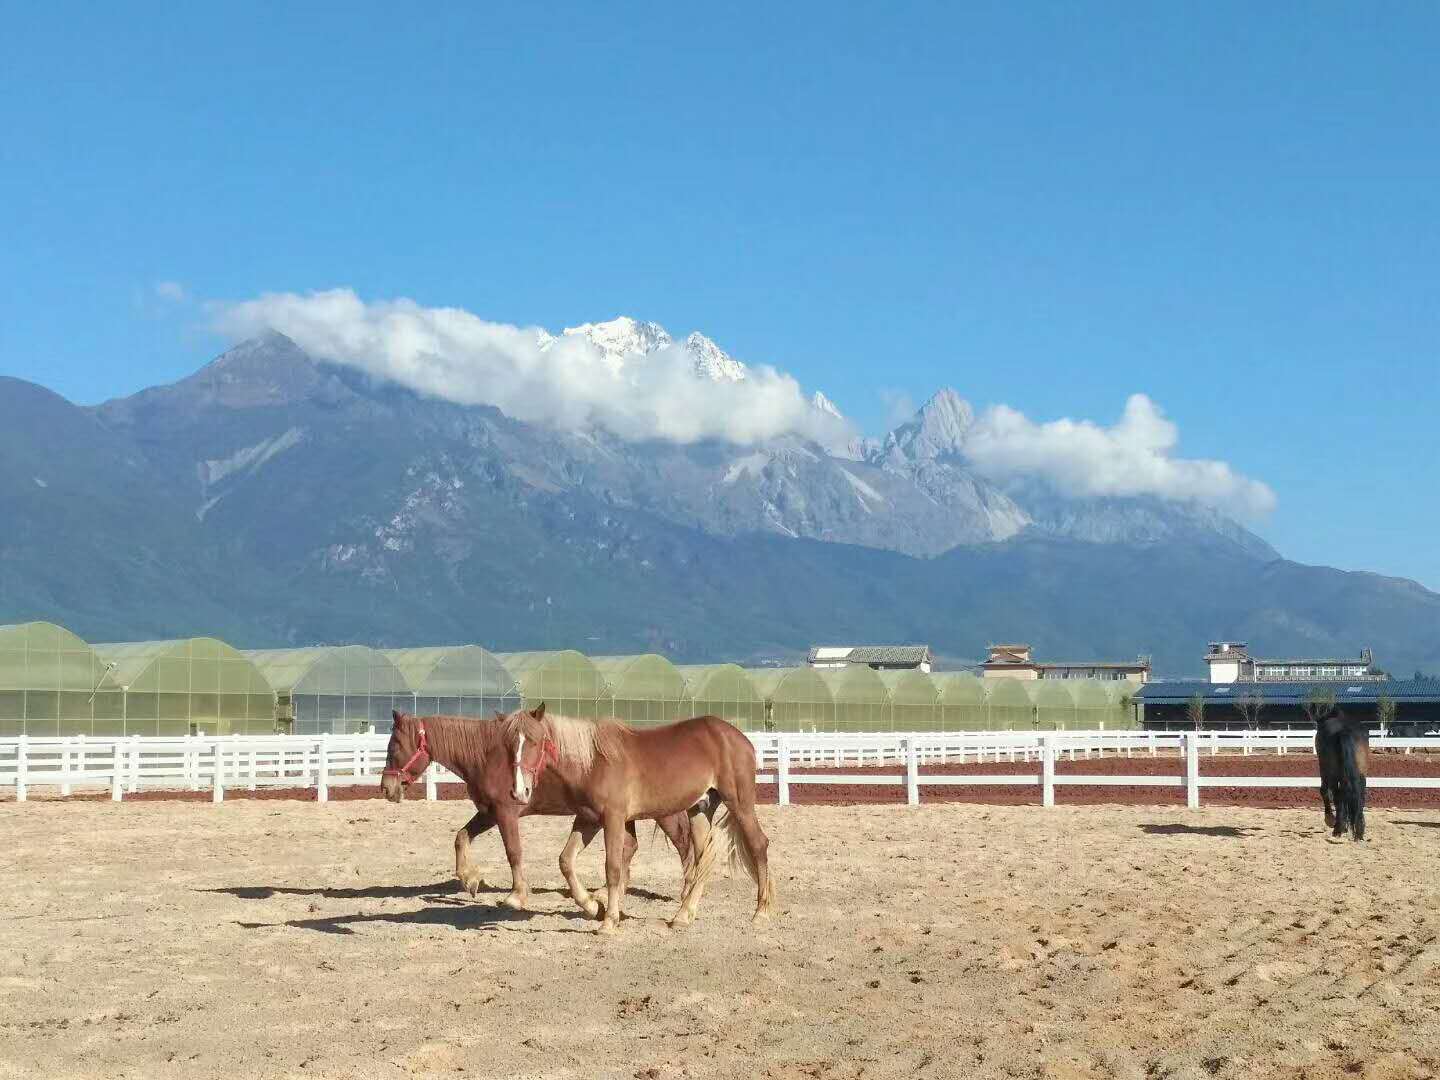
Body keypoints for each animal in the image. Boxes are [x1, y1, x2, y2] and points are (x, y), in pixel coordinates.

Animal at [380, 711, 694, 915]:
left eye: (394, 746)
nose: (386, 787)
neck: (488, 756)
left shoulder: (505, 813)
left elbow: (513, 851)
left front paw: (516, 895)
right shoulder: (489, 813)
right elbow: (461, 837)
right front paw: (470, 880)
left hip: (662, 813)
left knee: (682, 843)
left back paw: (684, 893)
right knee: (630, 848)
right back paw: (606, 893)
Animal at [504, 705, 783, 933]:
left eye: (534, 741)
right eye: (510, 744)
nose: (519, 792)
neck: (594, 763)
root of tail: (739, 738)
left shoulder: (613, 819)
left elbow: (613, 868)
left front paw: (608, 922)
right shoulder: (588, 820)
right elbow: (566, 860)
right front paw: (593, 906)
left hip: (740, 804)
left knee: (758, 845)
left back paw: (760, 913)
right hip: (700, 809)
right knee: (704, 858)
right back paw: (682, 916)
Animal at [1319, 711, 1370, 846]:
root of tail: (1344, 731)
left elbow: (1325, 792)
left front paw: (1331, 820)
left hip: (1332, 773)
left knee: (1336, 796)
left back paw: (1337, 829)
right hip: (1360, 774)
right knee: (1359, 797)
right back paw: (1358, 833)